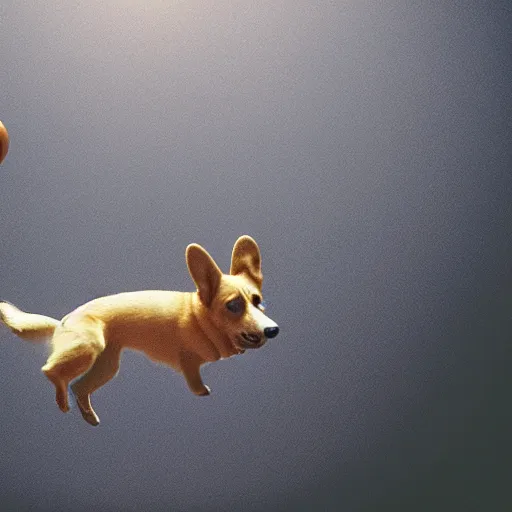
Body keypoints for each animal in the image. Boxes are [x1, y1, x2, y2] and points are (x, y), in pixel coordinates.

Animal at [1, 235, 280, 424]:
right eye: (233, 305)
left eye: (259, 301)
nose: (273, 330)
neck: (199, 317)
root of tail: (62, 321)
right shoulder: (189, 362)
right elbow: (195, 381)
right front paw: (201, 392)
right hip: (88, 348)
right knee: (50, 371)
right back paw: (62, 404)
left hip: (107, 365)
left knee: (79, 387)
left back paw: (90, 418)